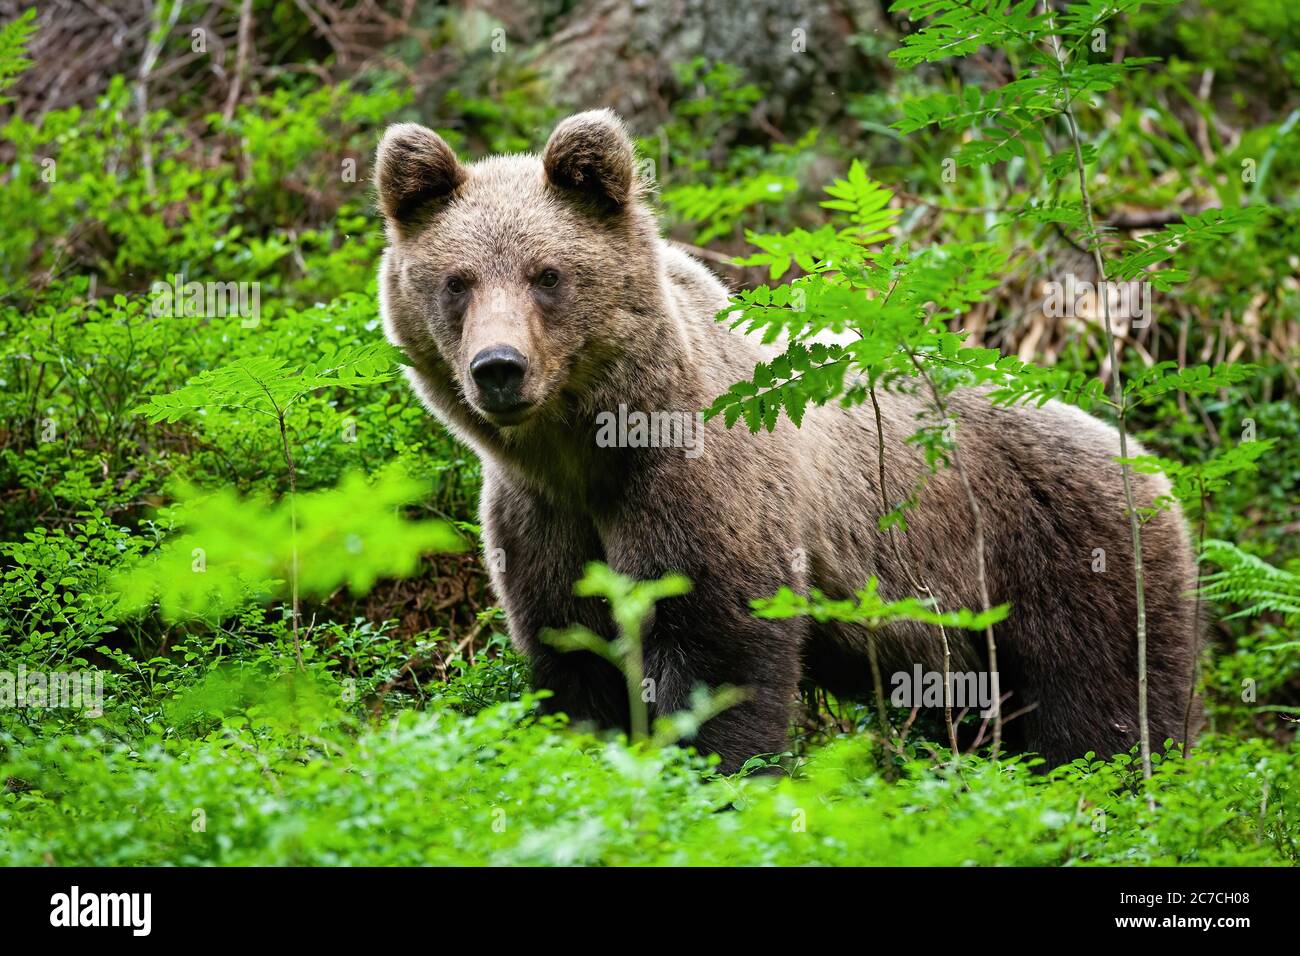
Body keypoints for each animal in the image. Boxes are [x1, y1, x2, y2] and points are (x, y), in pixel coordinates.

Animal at [374, 109, 1199, 773]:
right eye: (457, 280)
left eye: (547, 274)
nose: (498, 367)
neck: (590, 449)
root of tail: (1150, 464)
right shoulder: (542, 521)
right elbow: (579, 665)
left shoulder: (701, 488)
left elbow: (719, 658)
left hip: (1056, 555)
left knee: (1106, 707)